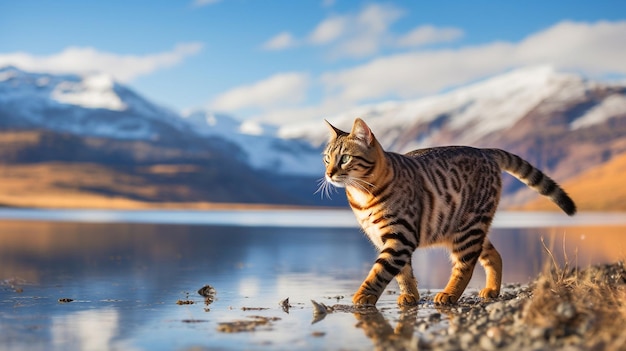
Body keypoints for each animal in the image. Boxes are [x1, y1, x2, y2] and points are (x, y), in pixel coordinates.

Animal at [322, 117, 576, 306]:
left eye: (345, 159)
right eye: (326, 159)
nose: (328, 173)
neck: (362, 196)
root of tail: (485, 151)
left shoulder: (400, 236)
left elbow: (381, 270)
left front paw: (364, 295)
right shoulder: (386, 238)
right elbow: (404, 273)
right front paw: (410, 296)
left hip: (468, 229)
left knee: (465, 265)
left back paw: (449, 294)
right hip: (465, 227)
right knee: (493, 255)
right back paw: (491, 289)